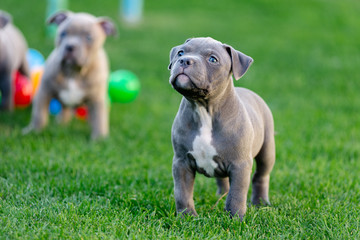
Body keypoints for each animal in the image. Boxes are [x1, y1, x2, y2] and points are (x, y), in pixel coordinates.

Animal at [23, 11, 116, 140]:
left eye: (88, 37)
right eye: (63, 33)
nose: (70, 46)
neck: (73, 71)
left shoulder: (97, 100)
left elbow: (99, 119)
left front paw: (99, 139)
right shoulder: (44, 92)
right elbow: (39, 115)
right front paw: (34, 131)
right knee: (65, 110)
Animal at [169, 37, 276, 219]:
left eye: (213, 59)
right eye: (180, 52)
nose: (184, 60)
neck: (204, 108)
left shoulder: (240, 165)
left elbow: (237, 194)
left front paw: (235, 218)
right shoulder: (181, 162)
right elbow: (182, 192)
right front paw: (187, 217)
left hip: (267, 149)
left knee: (261, 175)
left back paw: (260, 202)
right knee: (223, 180)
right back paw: (221, 195)